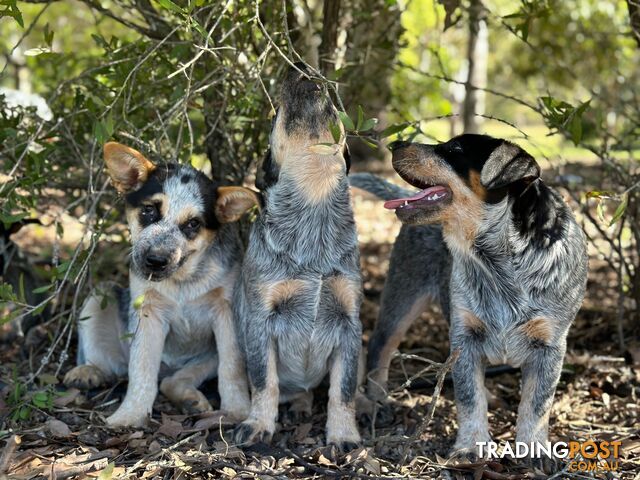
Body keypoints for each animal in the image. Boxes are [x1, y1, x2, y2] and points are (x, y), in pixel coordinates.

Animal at [234, 62, 364, 450]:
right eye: (276, 112)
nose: (304, 66)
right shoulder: (260, 319)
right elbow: (264, 380)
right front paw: (259, 425)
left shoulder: (349, 322)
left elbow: (344, 388)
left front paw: (343, 434)